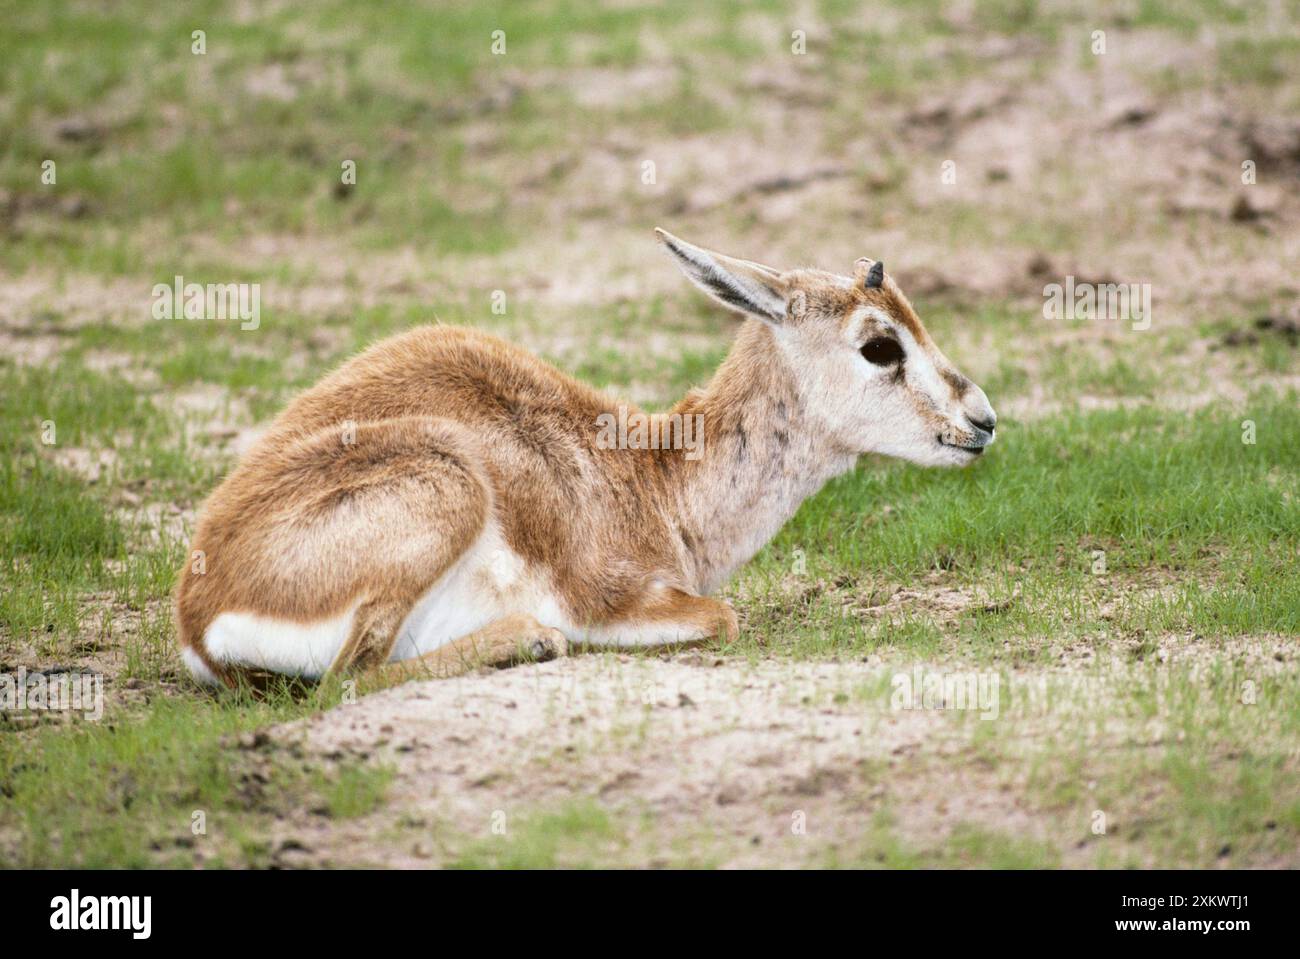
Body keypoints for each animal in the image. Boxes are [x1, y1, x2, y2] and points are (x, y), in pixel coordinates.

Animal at [175, 230, 996, 689]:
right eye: (880, 344)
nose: (981, 420)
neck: (656, 480)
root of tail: (197, 612)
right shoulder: (614, 599)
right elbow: (723, 616)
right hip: (445, 483)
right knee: (344, 681)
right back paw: (529, 640)